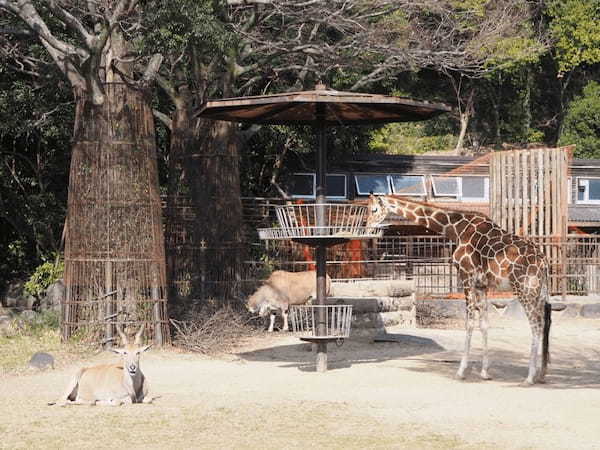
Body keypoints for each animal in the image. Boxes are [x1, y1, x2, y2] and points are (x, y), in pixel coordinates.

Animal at [366, 193, 552, 384]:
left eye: (374, 209)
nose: (368, 228)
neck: (456, 229)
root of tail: (544, 261)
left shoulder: (466, 277)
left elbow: (469, 324)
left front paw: (461, 371)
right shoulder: (482, 285)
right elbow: (484, 325)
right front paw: (484, 372)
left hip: (525, 290)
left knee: (536, 325)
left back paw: (530, 377)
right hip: (539, 291)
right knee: (544, 324)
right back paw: (540, 373)